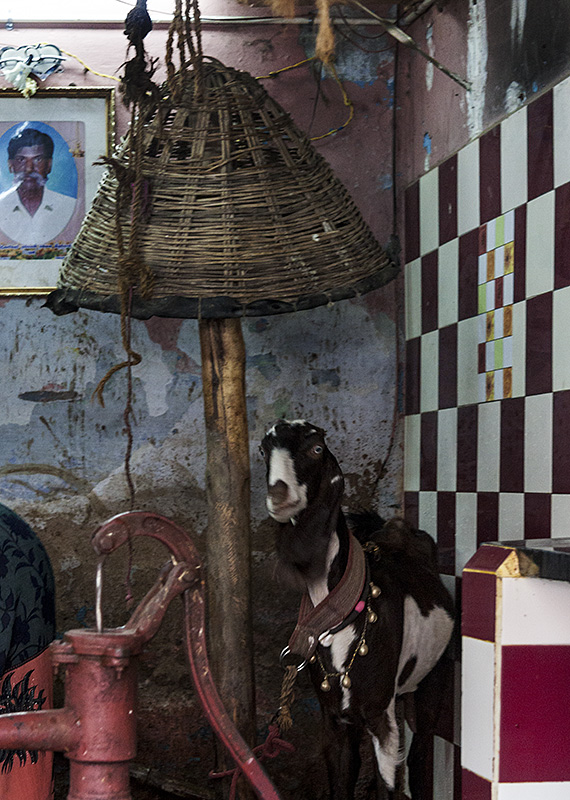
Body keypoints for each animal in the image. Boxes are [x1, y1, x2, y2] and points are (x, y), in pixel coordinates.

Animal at [260, 422, 452, 796]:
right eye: (263, 449)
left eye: (317, 448)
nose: (279, 495)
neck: (344, 613)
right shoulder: (334, 719)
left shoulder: (380, 716)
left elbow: (389, 785)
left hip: (432, 681)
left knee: (421, 754)